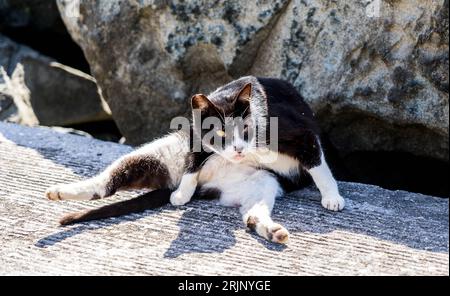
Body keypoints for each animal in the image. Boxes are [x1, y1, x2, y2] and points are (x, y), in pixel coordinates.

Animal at [45, 77, 344, 245]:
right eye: (220, 133)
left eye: (245, 130)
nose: (238, 149)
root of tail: (212, 184)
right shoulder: (193, 135)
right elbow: (193, 160)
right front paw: (181, 194)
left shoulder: (302, 133)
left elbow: (318, 166)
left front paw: (332, 197)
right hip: (162, 154)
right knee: (104, 184)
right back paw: (59, 191)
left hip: (263, 180)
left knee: (252, 215)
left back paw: (273, 232)